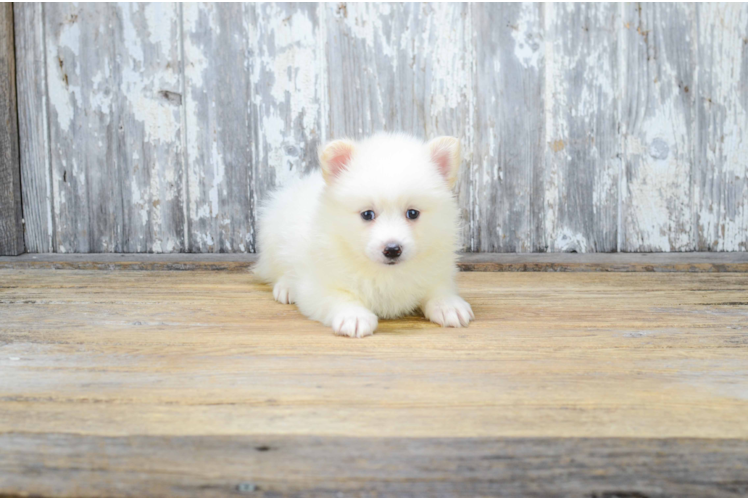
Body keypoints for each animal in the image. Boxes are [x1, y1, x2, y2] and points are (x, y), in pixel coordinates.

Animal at [254, 132, 470, 340]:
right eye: (367, 214)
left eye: (412, 213)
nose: (392, 249)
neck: (385, 273)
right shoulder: (318, 285)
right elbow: (340, 297)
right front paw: (354, 316)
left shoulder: (437, 271)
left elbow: (439, 287)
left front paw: (449, 305)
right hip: (274, 236)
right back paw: (286, 287)